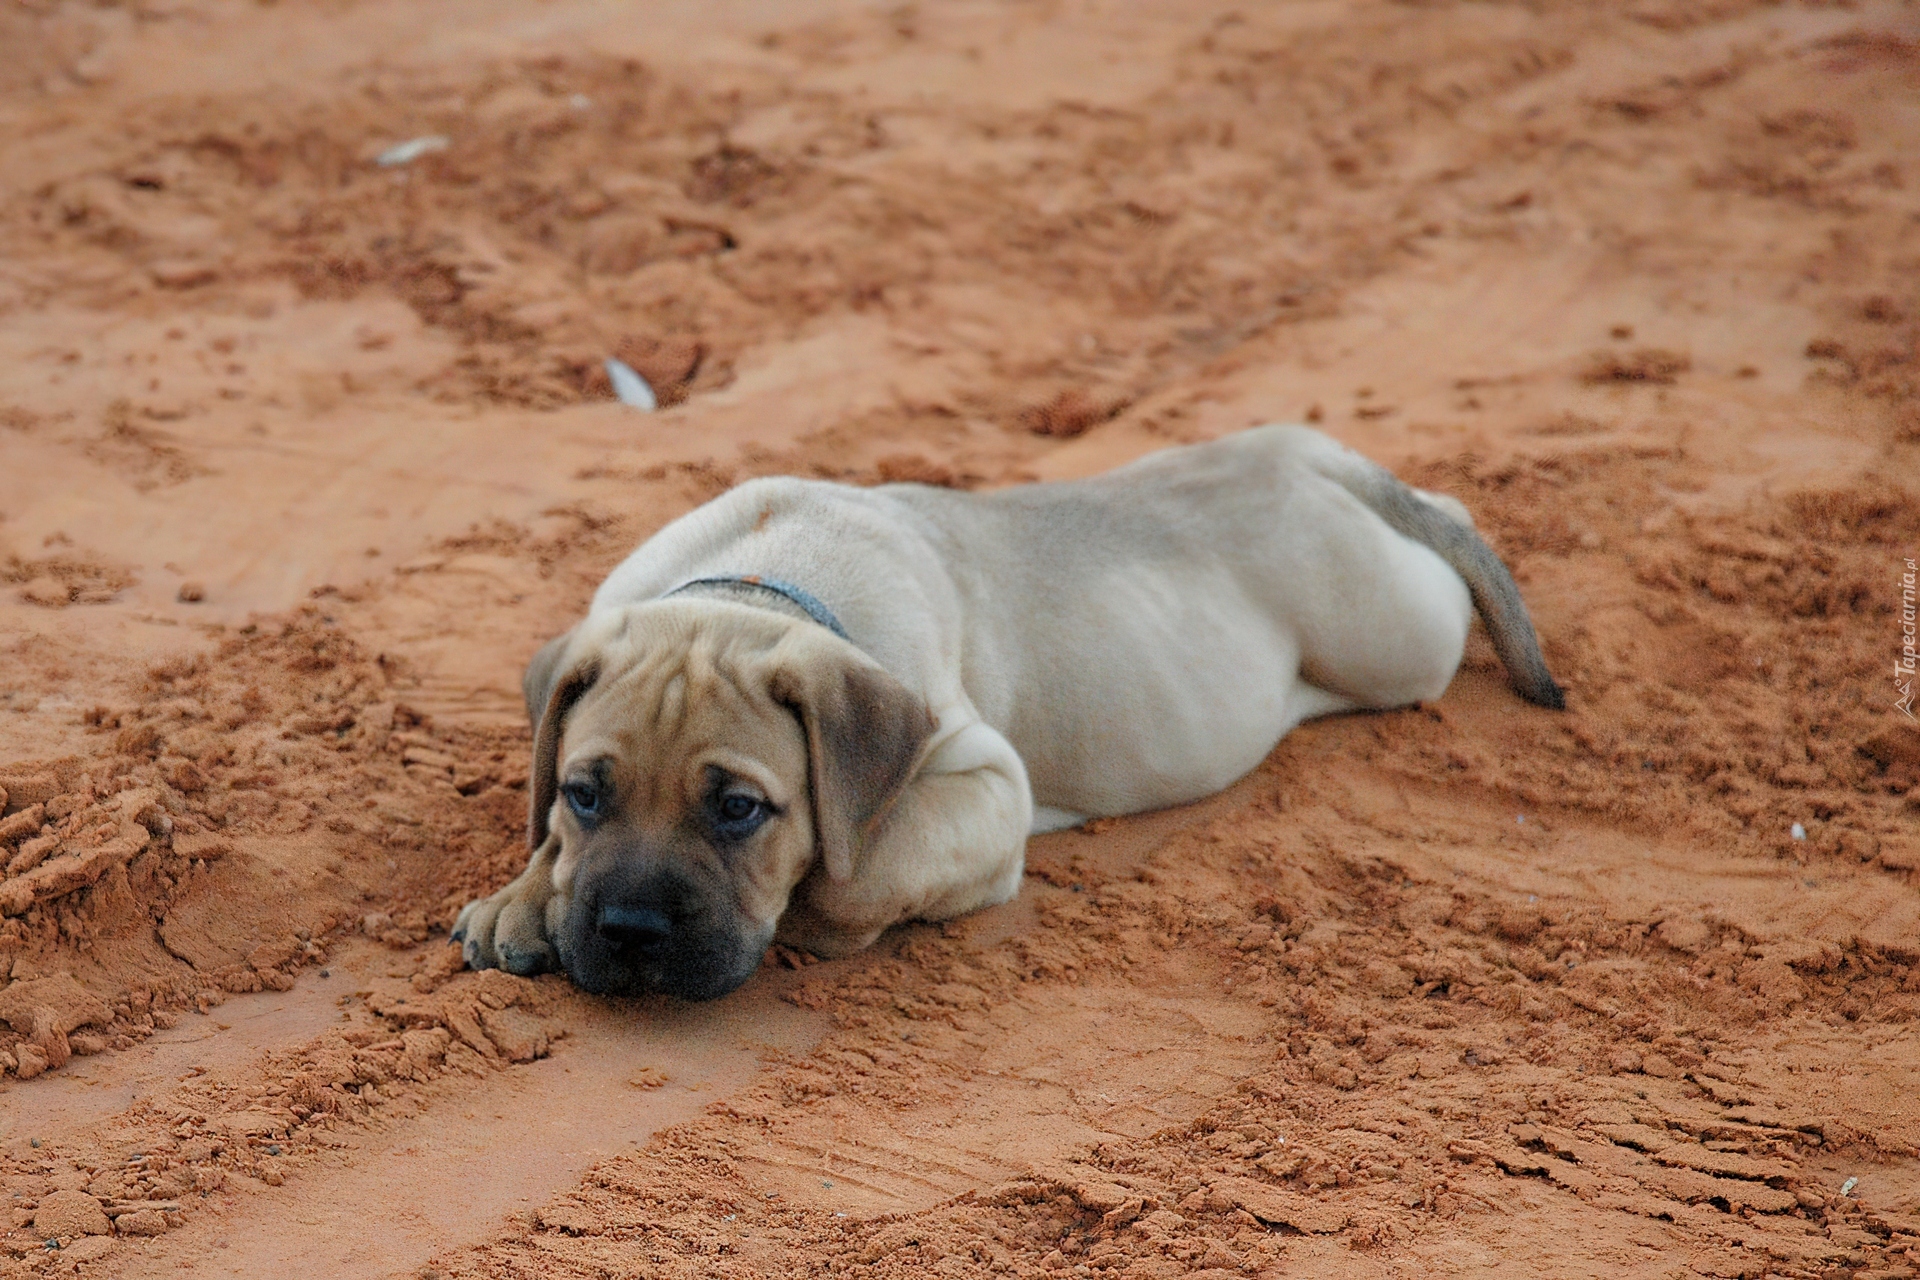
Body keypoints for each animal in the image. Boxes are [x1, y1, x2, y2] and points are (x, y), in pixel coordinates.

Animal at [453, 426, 1559, 997]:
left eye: (738, 811)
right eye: (585, 794)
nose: (631, 929)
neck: (757, 583)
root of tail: (1300, 447)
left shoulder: (986, 781)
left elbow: (860, 869)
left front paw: (818, 906)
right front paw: (525, 894)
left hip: (1395, 635)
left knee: (1449, 521)